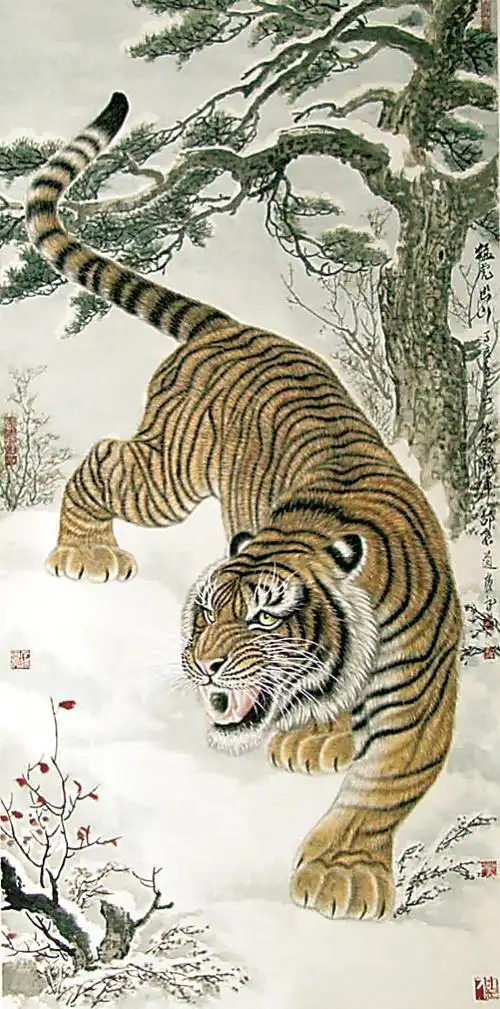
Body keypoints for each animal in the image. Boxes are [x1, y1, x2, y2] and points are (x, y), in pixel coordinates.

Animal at [25, 92, 461, 921]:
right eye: (203, 612)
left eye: (264, 615)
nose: (204, 667)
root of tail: (233, 324)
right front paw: (343, 875)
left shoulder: (422, 688)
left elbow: (385, 784)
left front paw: (340, 871)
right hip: (167, 476)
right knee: (103, 457)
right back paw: (85, 553)